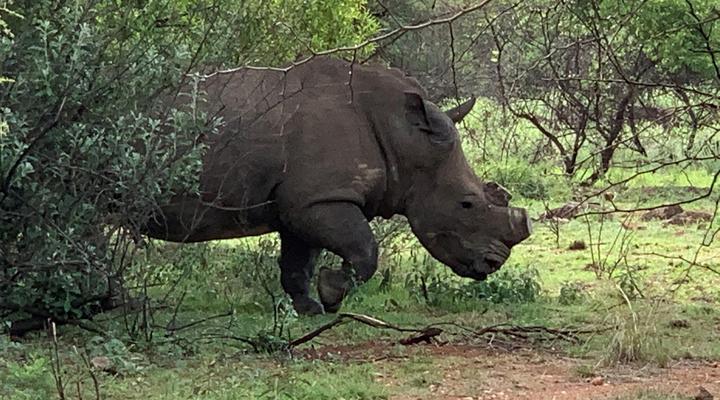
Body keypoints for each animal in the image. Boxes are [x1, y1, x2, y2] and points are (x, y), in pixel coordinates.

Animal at [144, 57, 532, 314]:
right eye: (467, 204)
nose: (493, 263)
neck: (403, 139)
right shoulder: (320, 199)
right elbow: (364, 249)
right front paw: (331, 292)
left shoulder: (305, 201)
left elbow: (299, 261)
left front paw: (310, 307)